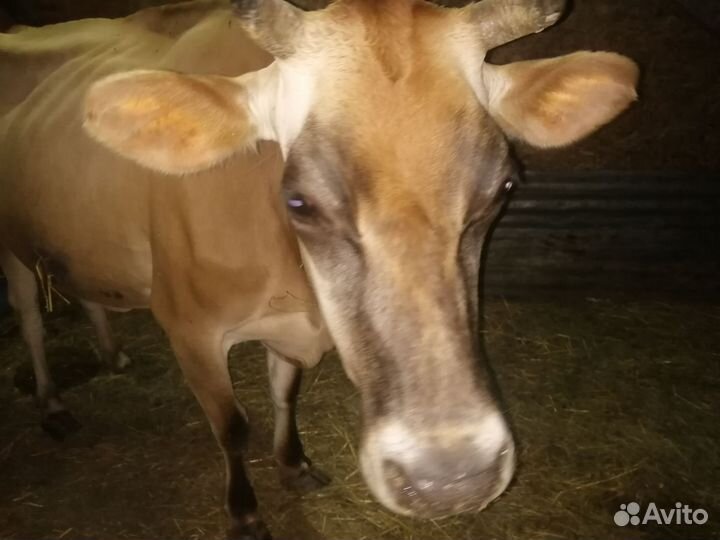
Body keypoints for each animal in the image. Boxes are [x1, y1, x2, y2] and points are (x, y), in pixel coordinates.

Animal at [0, 0, 638, 538]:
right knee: (30, 316)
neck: (295, 284)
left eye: (503, 188)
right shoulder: (188, 328)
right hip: (12, 250)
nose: (450, 477)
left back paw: (111, 354)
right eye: (300, 201)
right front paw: (244, 512)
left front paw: (294, 463)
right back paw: (52, 405)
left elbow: (285, 392)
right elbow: (232, 425)